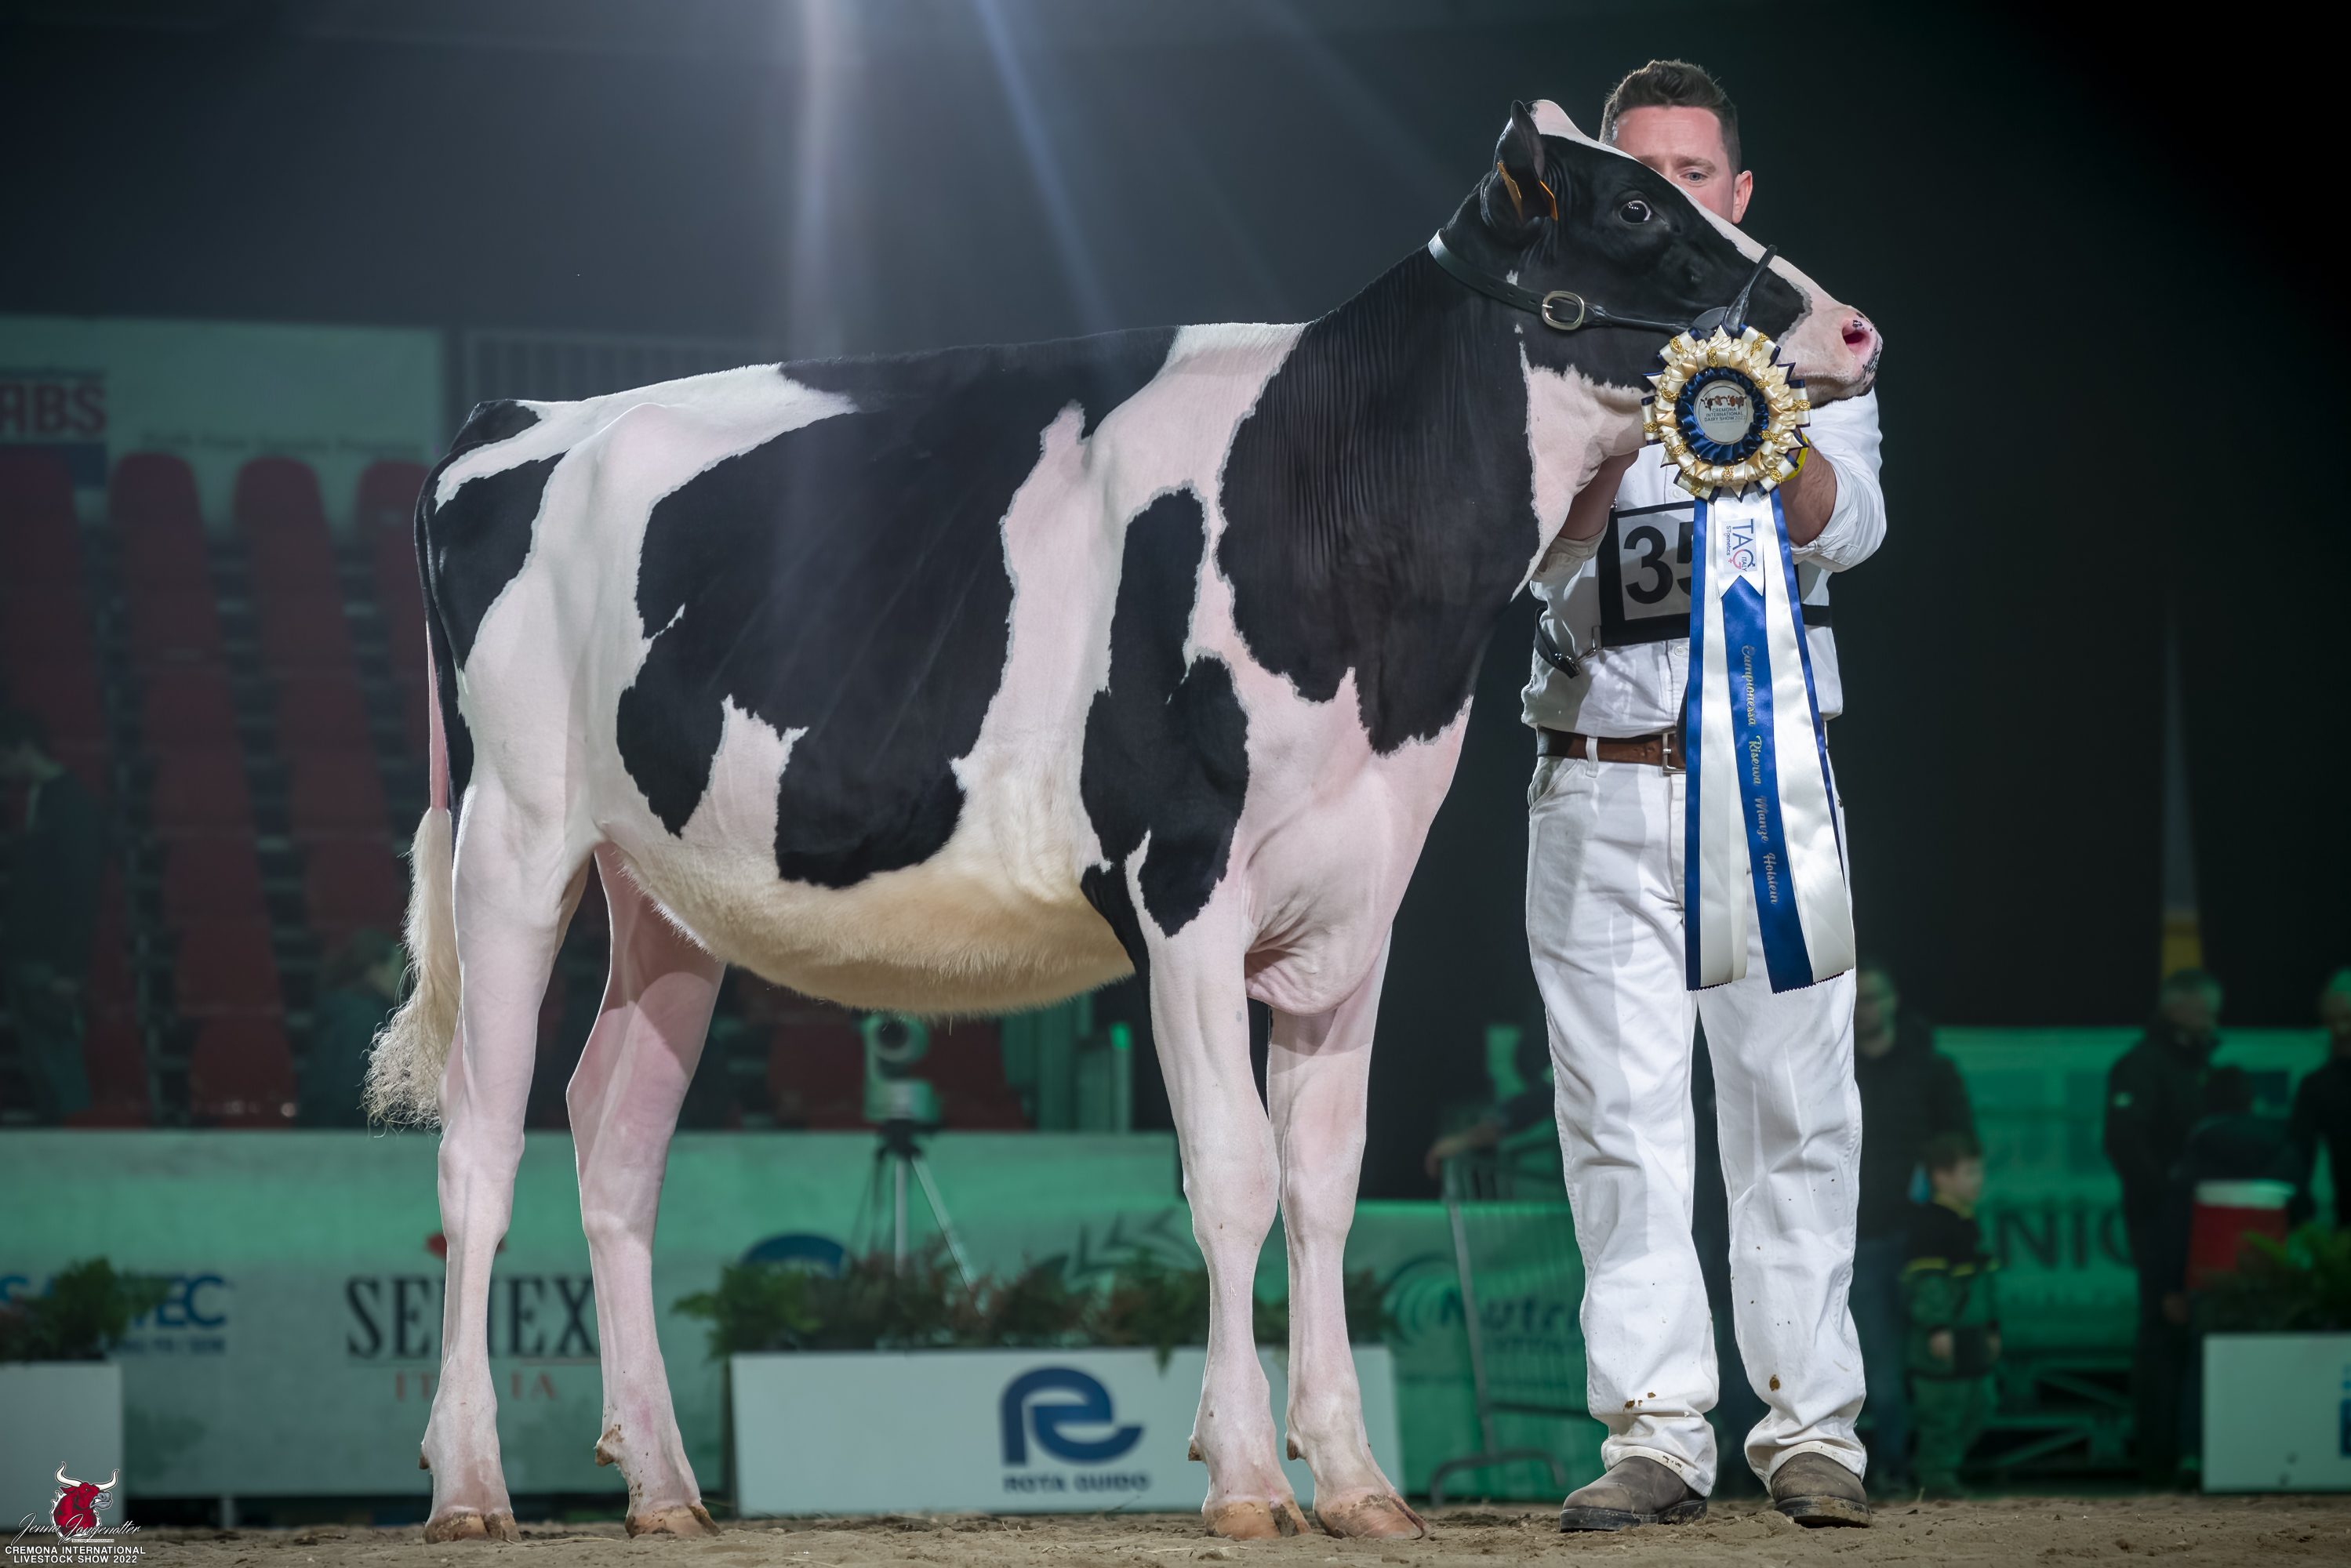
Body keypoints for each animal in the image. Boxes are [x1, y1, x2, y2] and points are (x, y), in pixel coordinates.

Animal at [368, 99, 1877, 1543]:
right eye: (1633, 208)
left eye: (1681, 186)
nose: (1851, 324)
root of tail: (522, 417)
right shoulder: (1182, 882)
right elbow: (1230, 1172)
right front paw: (1247, 1476)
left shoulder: (1357, 899)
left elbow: (1323, 1183)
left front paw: (1355, 1482)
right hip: (516, 839)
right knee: (476, 1152)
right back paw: (468, 1486)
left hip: (666, 893)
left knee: (614, 1145)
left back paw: (665, 1487)